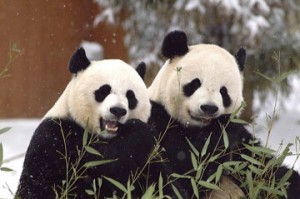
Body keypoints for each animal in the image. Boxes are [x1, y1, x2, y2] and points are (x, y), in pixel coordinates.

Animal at [147, 30, 300, 198]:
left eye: (224, 91)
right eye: (195, 83)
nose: (208, 108)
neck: (197, 128)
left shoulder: (243, 148)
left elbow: (266, 170)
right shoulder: (160, 124)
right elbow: (189, 170)